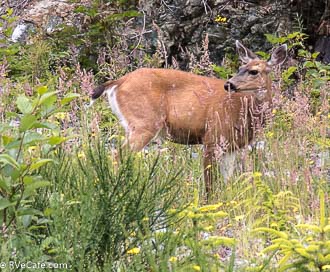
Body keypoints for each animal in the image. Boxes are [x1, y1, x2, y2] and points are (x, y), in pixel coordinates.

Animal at [90, 40, 286, 198]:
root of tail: (118, 82)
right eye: (239, 68)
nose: (229, 84)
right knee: (117, 154)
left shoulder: (232, 147)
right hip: (144, 123)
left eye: (253, 71)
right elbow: (209, 180)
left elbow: (227, 179)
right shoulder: (212, 137)